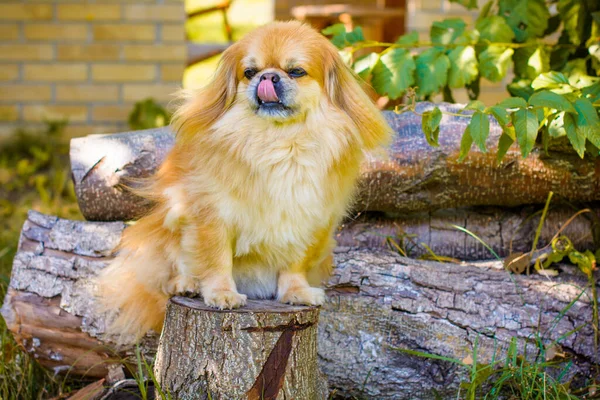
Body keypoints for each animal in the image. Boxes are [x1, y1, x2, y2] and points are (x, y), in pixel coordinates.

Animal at [96, 21, 392, 340]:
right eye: (250, 72)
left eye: (296, 71)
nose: (268, 77)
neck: (281, 141)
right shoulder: (212, 217)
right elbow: (216, 260)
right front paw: (221, 294)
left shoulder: (307, 221)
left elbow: (295, 263)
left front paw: (296, 292)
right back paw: (186, 284)